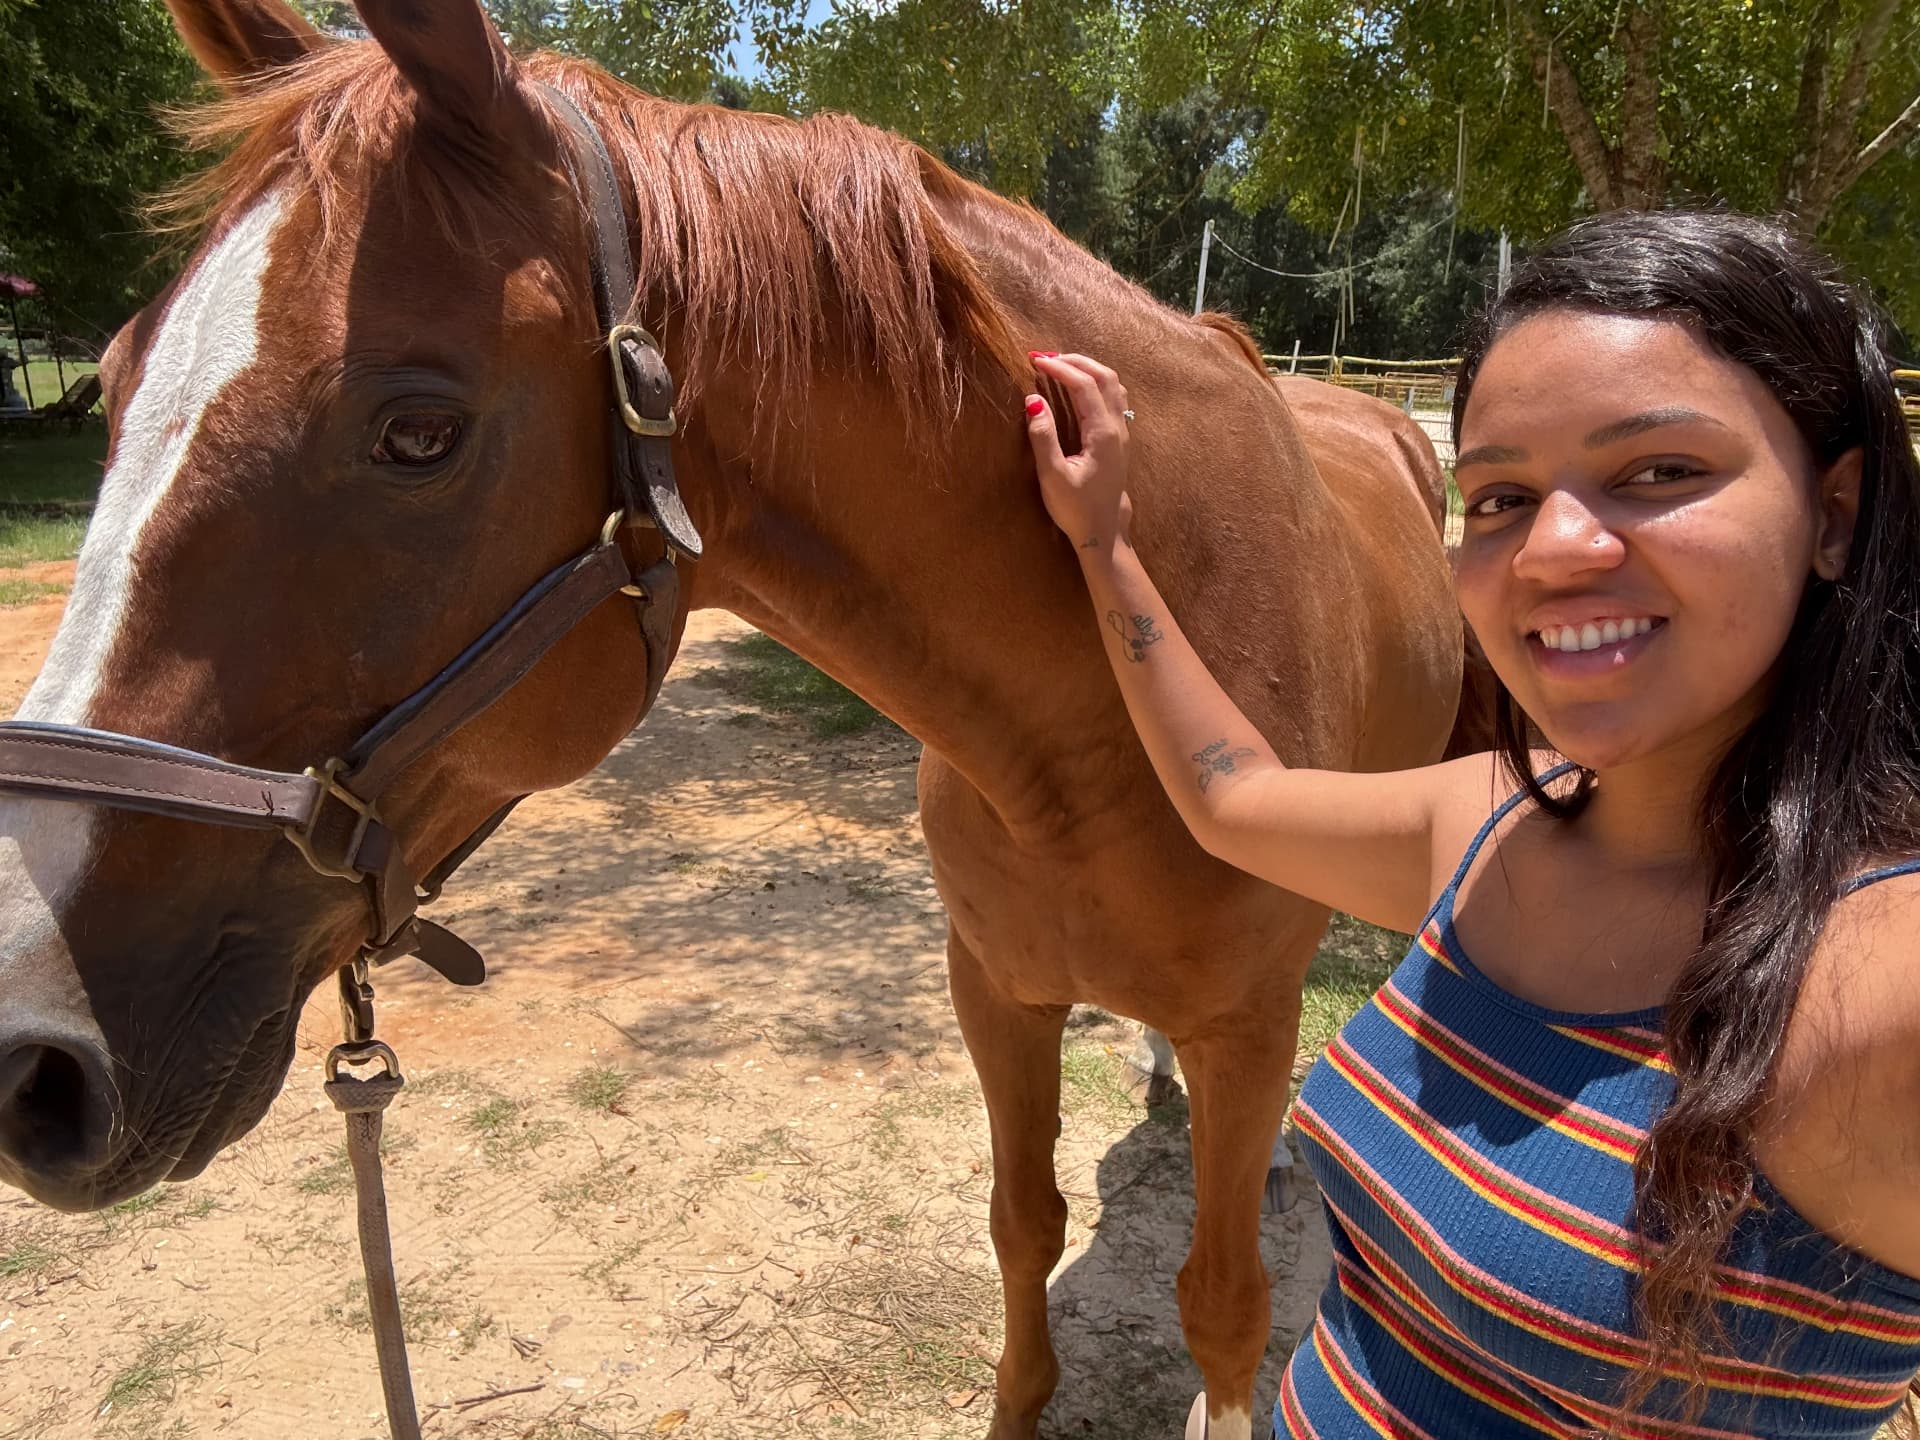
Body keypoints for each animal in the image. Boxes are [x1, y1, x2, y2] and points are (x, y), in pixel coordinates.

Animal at [0, 2, 1462, 1435]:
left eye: (417, 431)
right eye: (116, 375)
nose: (32, 1053)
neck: (1106, 716)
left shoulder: (1248, 1030)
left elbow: (1222, 1306)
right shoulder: (995, 994)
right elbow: (1021, 1224)